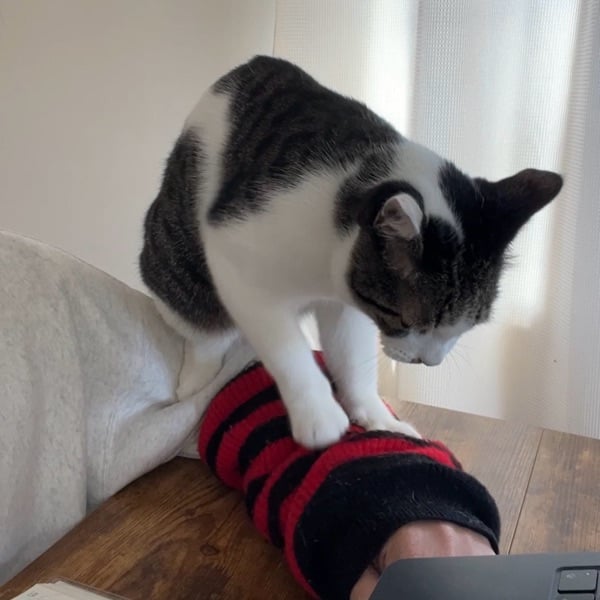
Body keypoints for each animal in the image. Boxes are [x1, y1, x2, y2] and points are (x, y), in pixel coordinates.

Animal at [140, 55, 562, 449]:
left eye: (467, 326)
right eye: (402, 317)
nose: (428, 361)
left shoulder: (348, 303)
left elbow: (353, 359)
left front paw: (377, 417)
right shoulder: (235, 258)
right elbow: (285, 345)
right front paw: (318, 414)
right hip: (180, 263)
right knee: (202, 327)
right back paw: (196, 380)